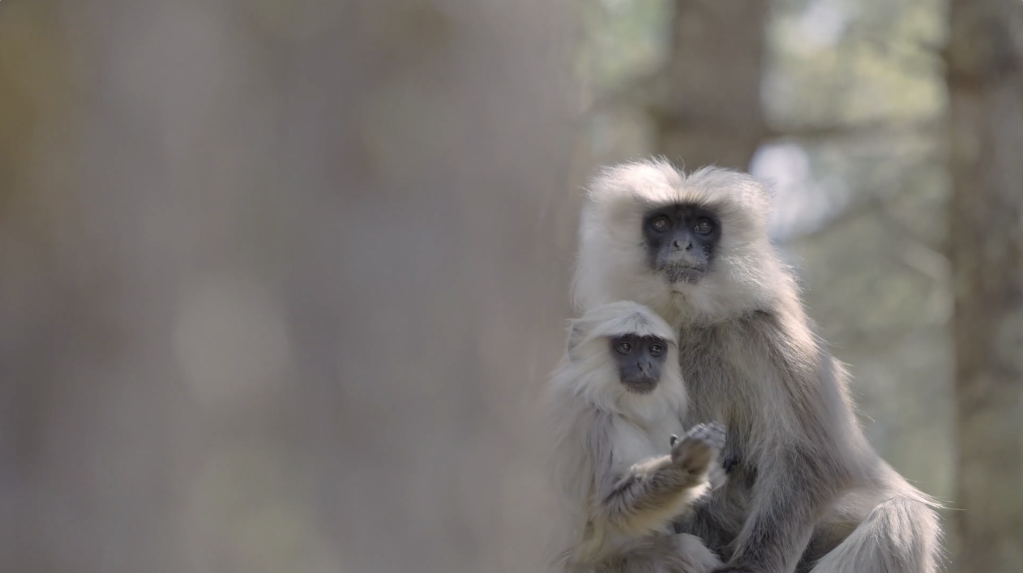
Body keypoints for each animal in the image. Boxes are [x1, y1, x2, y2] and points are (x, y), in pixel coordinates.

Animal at [544, 300, 729, 573]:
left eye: (655, 350)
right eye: (625, 347)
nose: (644, 365)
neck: (619, 407)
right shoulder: (596, 423)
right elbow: (610, 511)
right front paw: (689, 465)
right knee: (686, 549)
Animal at [570, 159, 941, 573]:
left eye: (703, 225)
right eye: (662, 223)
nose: (682, 244)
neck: (686, 317)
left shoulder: (765, 330)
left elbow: (810, 457)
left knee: (901, 517)